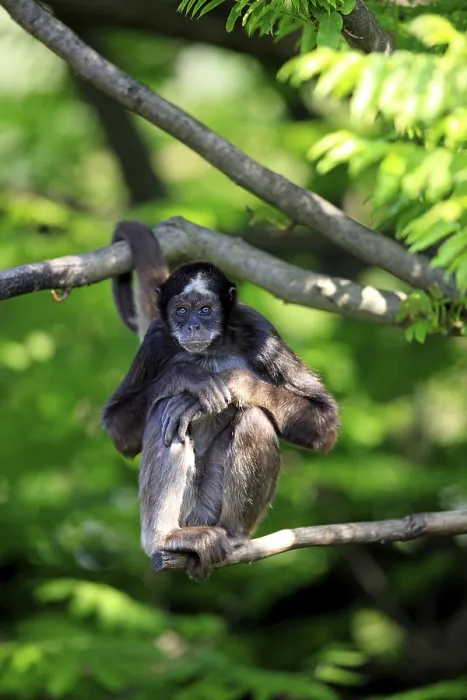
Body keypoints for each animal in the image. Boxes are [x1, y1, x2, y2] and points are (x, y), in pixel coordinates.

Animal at [103, 221, 339, 580]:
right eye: (181, 311)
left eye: (205, 310)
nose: (193, 325)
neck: (210, 351)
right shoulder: (157, 338)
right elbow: (119, 430)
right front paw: (189, 378)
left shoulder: (260, 330)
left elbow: (325, 424)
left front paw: (234, 382)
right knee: (163, 411)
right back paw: (166, 538)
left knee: (253, 416)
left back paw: (232, 534)